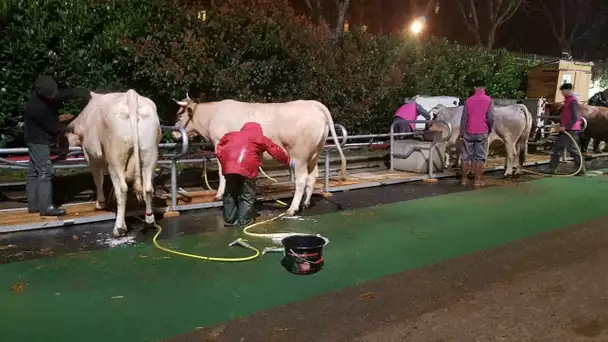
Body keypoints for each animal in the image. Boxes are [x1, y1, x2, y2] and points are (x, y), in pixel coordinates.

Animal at [64, 89, 162, 236]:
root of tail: (131, 95)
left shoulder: (91, 157)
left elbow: (98, 180)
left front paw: (100, 203)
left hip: (115, 159)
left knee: (122, 189)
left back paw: (119, 228)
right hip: (149, 152)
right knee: (148, 188)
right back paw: (149, 222)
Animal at [173, 95, 346, 215]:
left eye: (179, 116)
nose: (174, 133)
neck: (212, 116)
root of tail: (313, 104)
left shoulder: (219, 144)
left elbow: (222, 171)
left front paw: (219, 195)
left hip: (299, 155)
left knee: (302, 179)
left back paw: (292, 208)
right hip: (314, 154)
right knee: (312, 176)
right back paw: (305, 203)